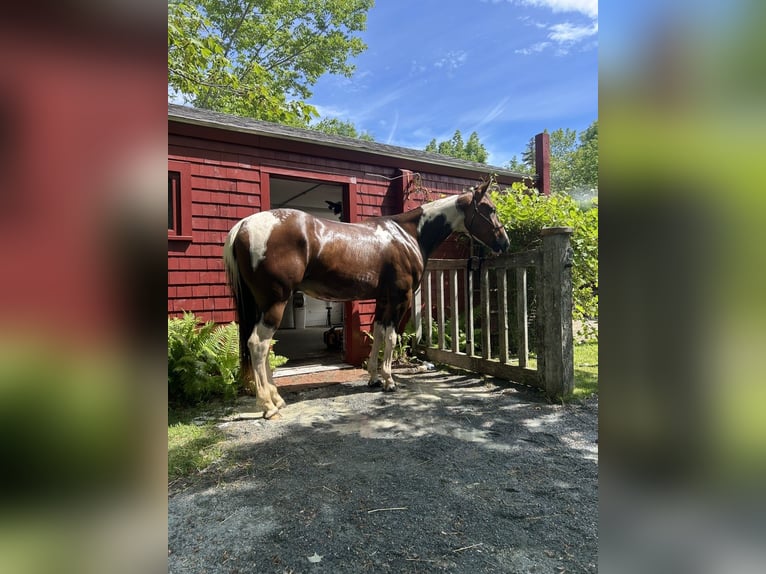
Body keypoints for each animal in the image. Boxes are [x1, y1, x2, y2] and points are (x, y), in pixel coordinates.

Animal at [223, 178, 510, 418]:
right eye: (489, 208)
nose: (504, 243)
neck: (408, 234)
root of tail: (243, 226)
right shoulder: (400, 298)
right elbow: (392, 338)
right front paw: (389, 381)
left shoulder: (382, 300)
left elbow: (378, 334)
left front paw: (373, 378)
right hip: (275, 302)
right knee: (259, 344)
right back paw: (268, 405)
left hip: (261, 304)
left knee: (262, 345)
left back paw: (276, 398)